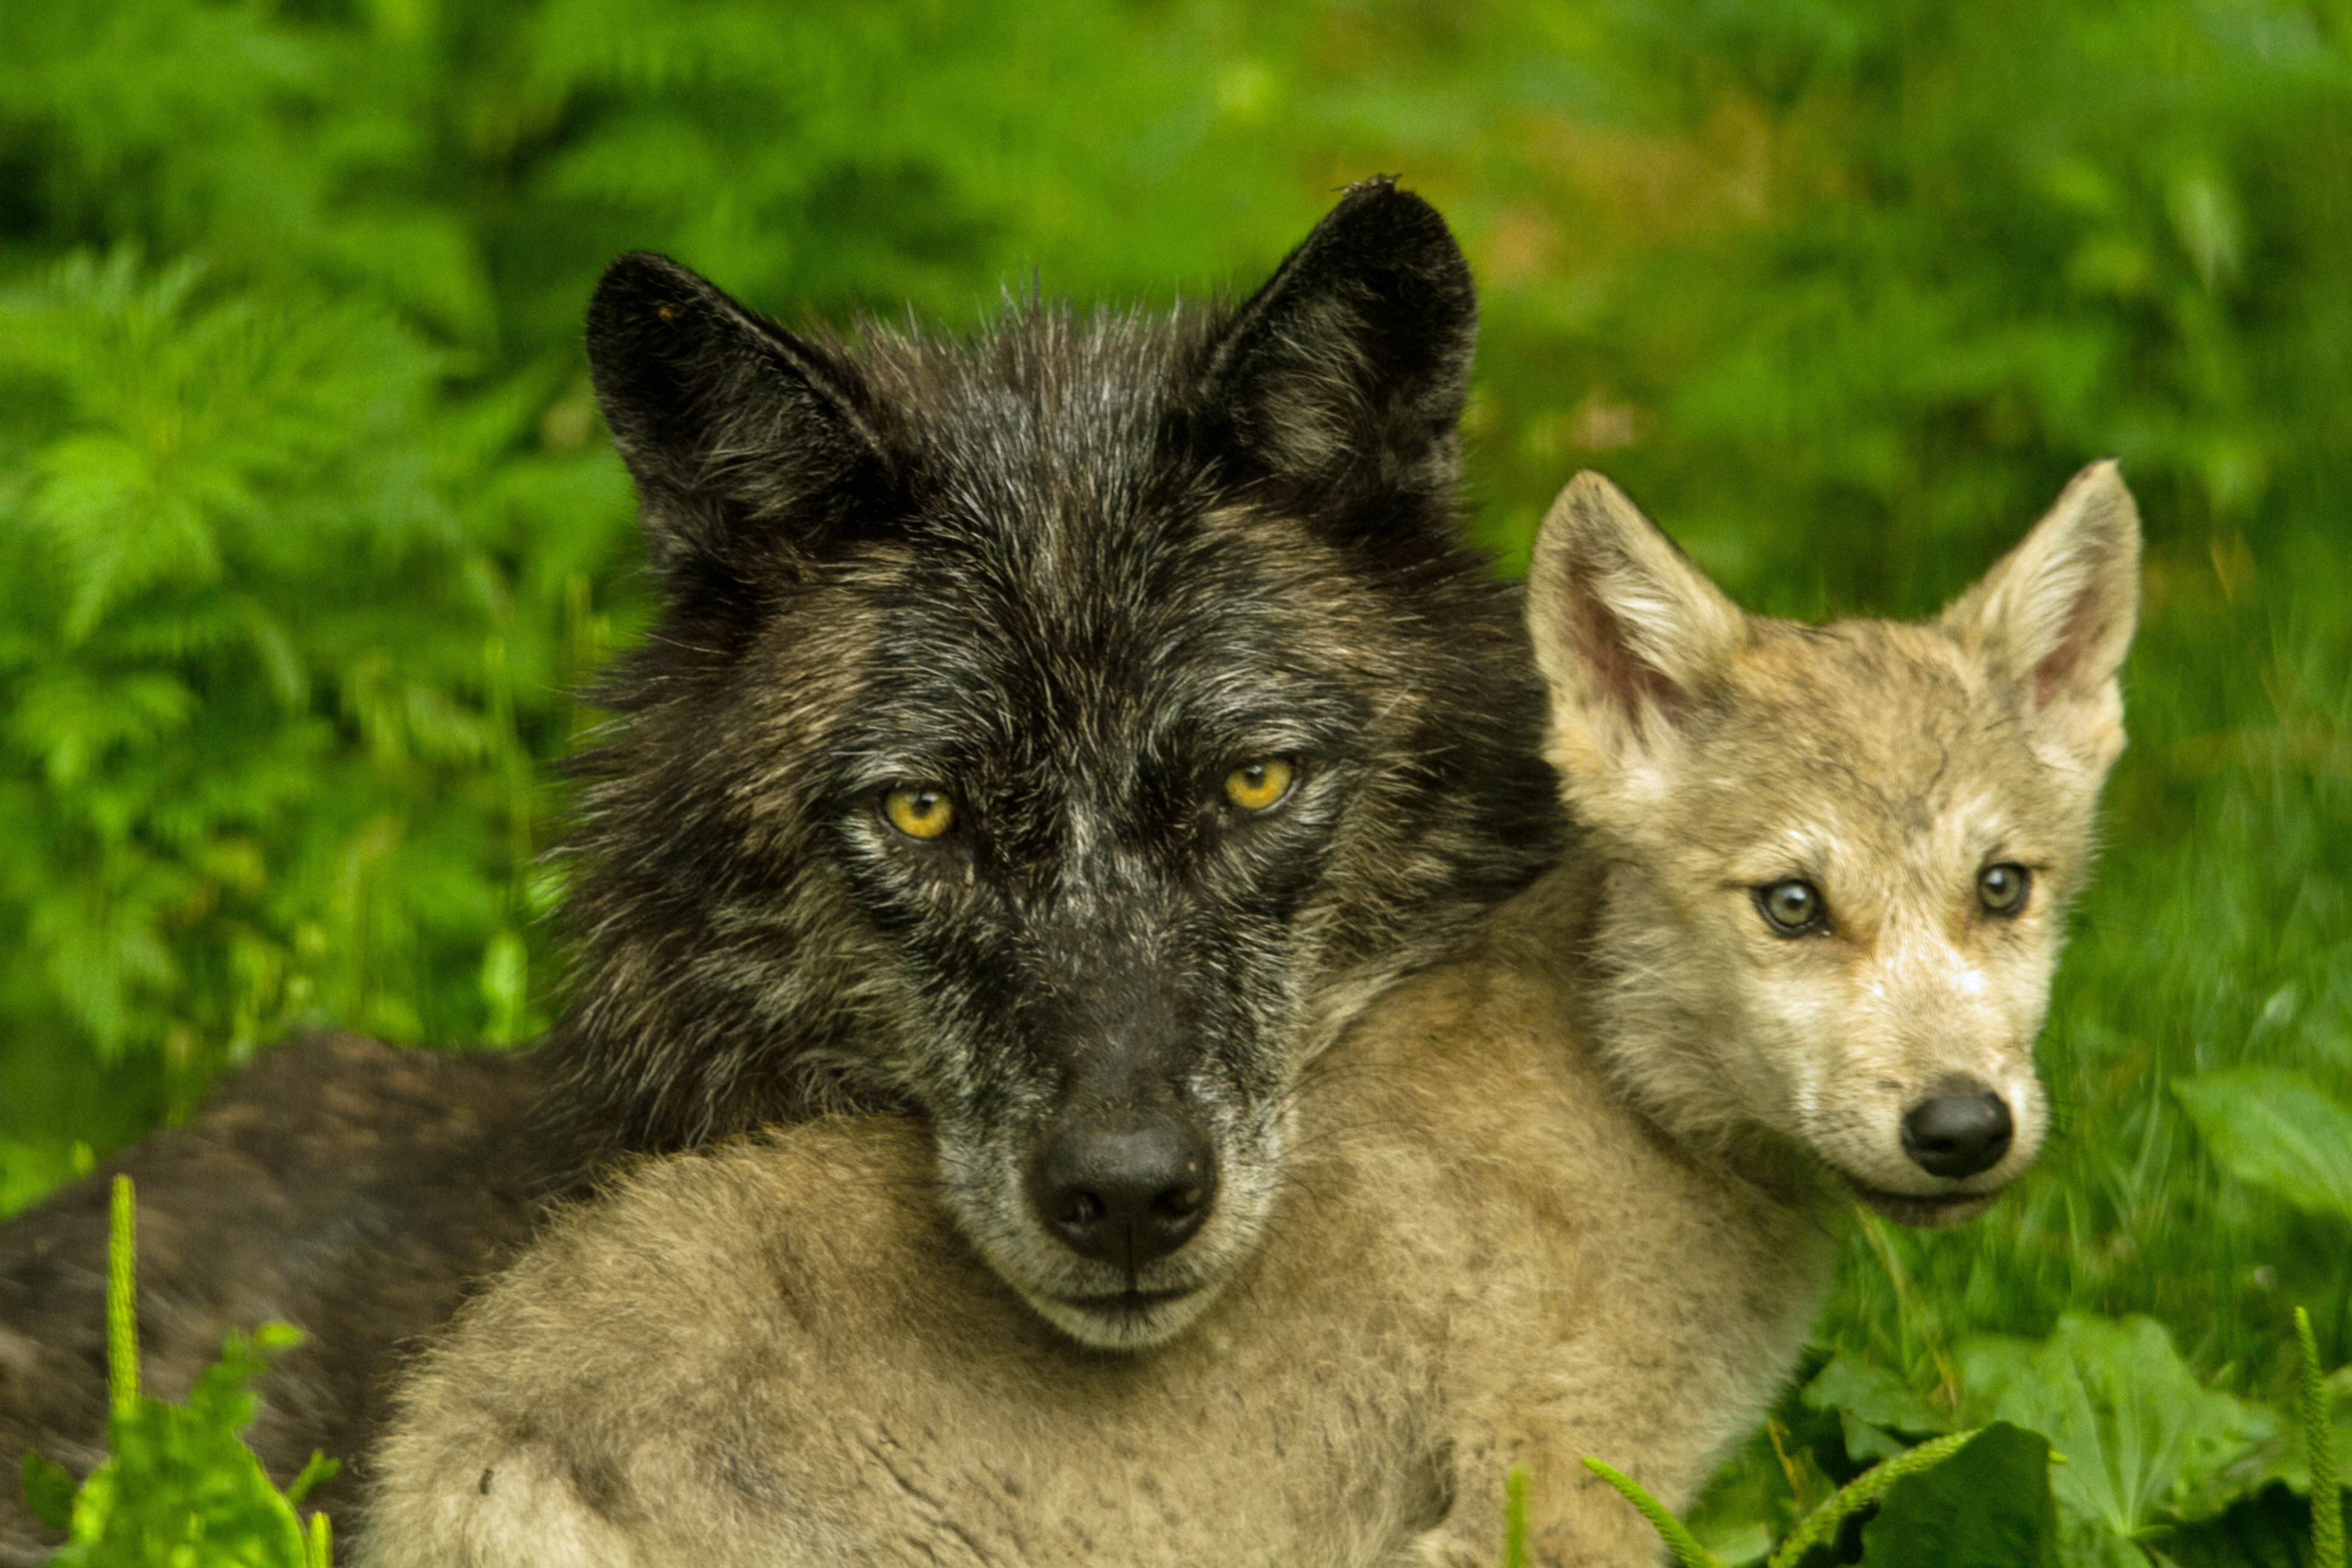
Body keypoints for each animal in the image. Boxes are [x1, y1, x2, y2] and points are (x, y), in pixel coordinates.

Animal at [356, 462, 2140, 1567]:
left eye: (2003, 888)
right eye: (1789, 904)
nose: (1961, 1126)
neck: (1620, 1102)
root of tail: (476, 1438)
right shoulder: (1538, 1502)